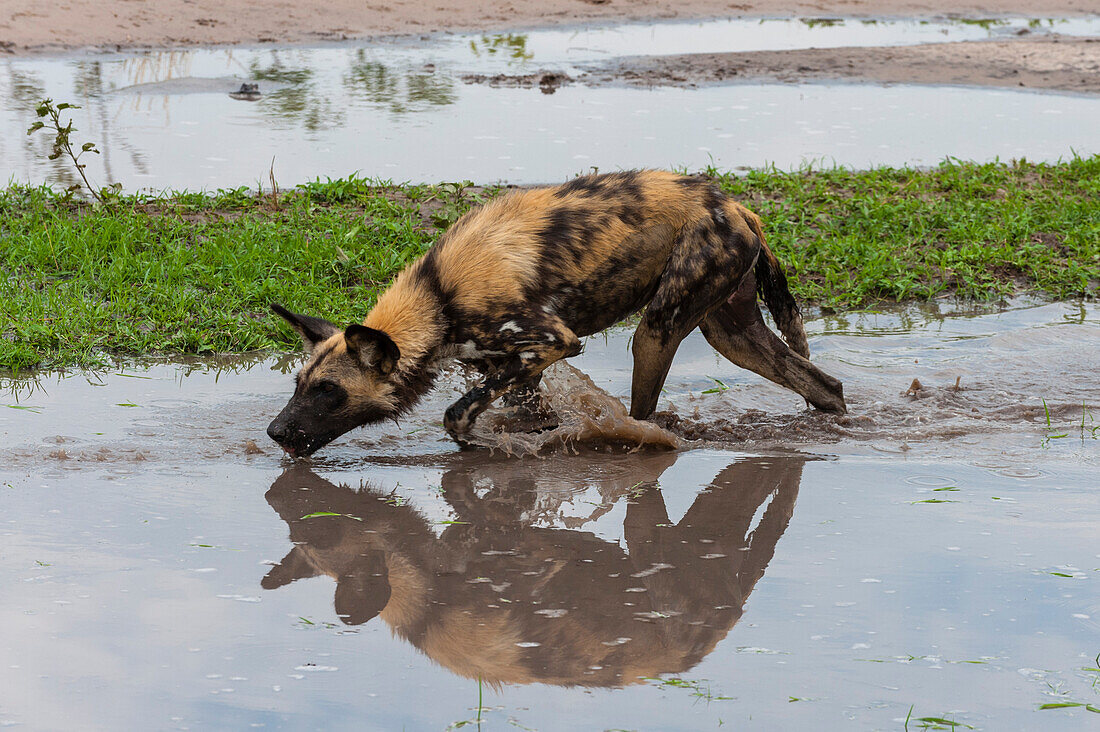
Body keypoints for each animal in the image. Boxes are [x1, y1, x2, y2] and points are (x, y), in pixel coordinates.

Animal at [266, 171, 840, 457]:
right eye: (298, 385)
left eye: (329, 391)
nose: (273, 432)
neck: (436, 298)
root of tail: (738, 206)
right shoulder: (511, 369)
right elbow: (521, 413)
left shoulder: (551, 343)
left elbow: (457, 417)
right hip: (732, 335)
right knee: (825, 385)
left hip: (655, 333)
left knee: (644, 411)